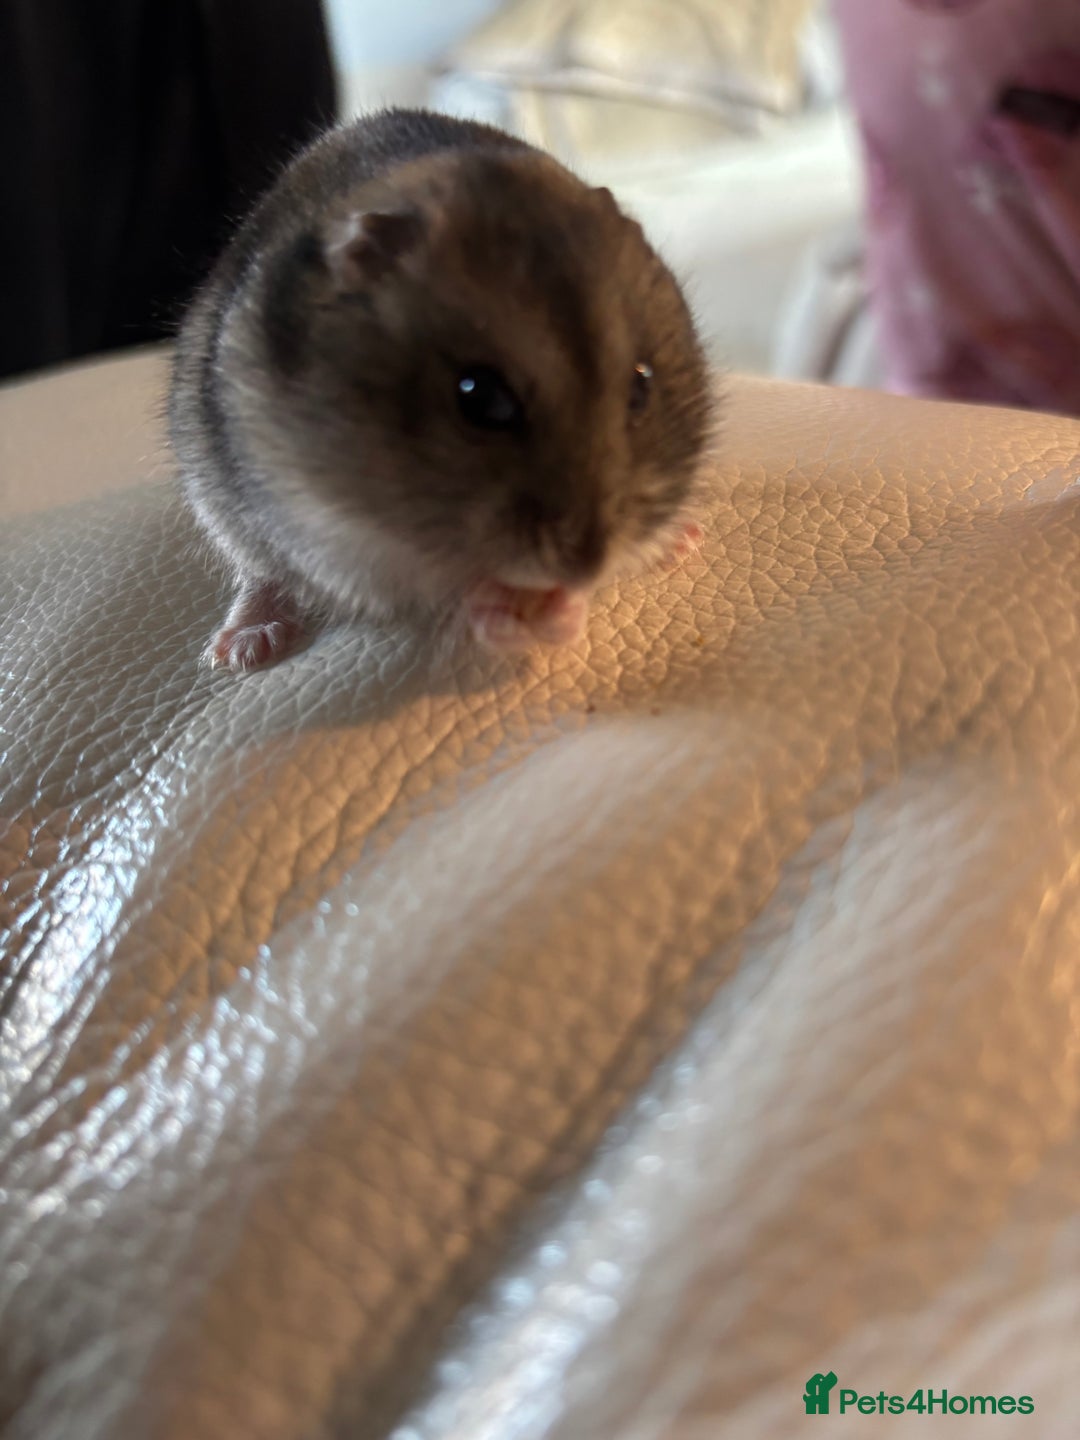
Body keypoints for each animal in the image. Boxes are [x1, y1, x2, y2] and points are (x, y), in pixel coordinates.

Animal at [169, 108, 713, 671]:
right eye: (479, 397)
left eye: (642, 386)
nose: (583, 567)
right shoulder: (325, 531)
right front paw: (512, 611)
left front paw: (566, 609)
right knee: (260, 575)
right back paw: (242, 647)